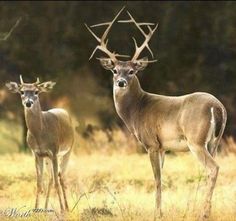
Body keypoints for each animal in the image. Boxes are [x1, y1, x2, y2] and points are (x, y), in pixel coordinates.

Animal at [5, 75, 74, 211]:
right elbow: (39, 183)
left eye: (36, 92)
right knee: (51, 178)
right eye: (22, 92)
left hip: (67, 151)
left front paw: (62, 209)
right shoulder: (37, 154)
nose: (28, 102)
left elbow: (56, 183)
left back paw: (67, 207)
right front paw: (36, 209)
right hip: (48, 158)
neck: (40, 133)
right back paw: (47, 208)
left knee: (61, 177)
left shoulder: (54, 151)